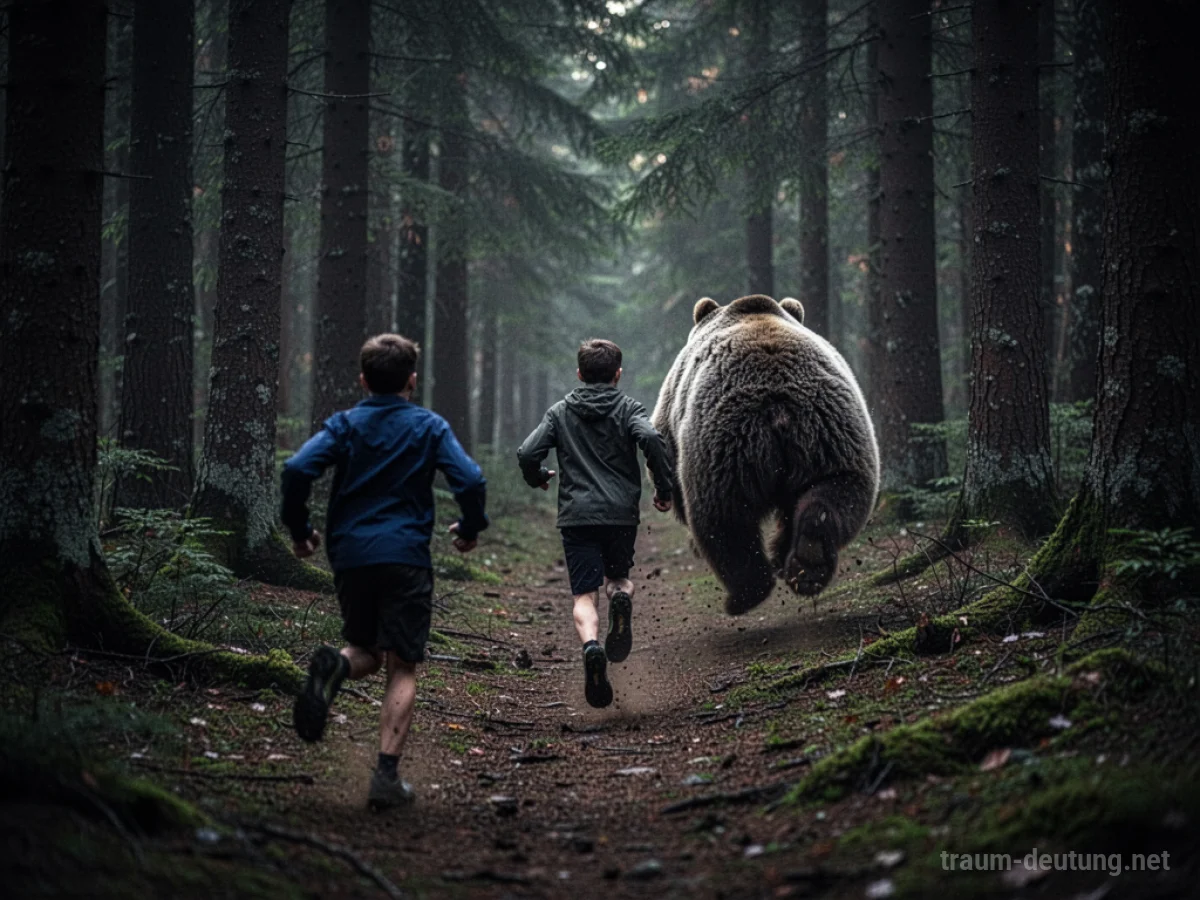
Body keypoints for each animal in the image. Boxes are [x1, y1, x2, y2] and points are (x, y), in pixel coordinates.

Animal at [651, 294, 879, 615]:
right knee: (838, 493)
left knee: (724, 521)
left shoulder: (672, 406)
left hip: (724, 447)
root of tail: (779, 407)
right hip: (833, 437)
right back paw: (807, 561)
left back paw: (744, 594)